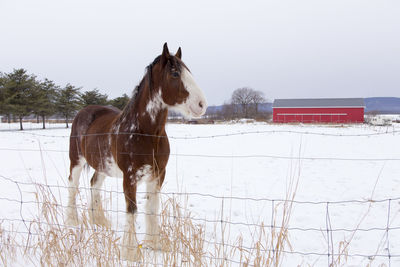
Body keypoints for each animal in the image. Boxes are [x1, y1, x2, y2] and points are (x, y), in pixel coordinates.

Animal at [65, 43, 206, 260]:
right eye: (175, 73)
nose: (201, 105)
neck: (145, 132)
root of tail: (83, 111)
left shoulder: (158, 174)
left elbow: (152, 208)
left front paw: (154, 244)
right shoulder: (129, 177)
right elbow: (132, 210)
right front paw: (129, 251)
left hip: (102, 166)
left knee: (94, 184)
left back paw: (99, 221)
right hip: (76, 161)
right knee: (73, 186)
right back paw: (72, 222)